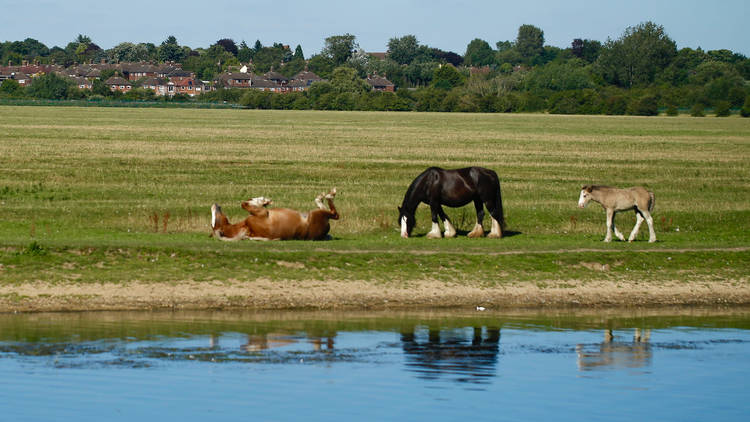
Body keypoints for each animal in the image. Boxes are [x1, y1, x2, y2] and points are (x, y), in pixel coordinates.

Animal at [212, 188, 340, 241]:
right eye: (214, 224)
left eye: (215, 220)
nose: (215, 205)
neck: (246, 227)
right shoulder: (262, 214)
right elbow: (243, 204)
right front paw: (262, 200)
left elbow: (244, 204)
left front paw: (262, 201)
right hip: (315, 214)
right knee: (335, 214)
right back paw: (329, 195)